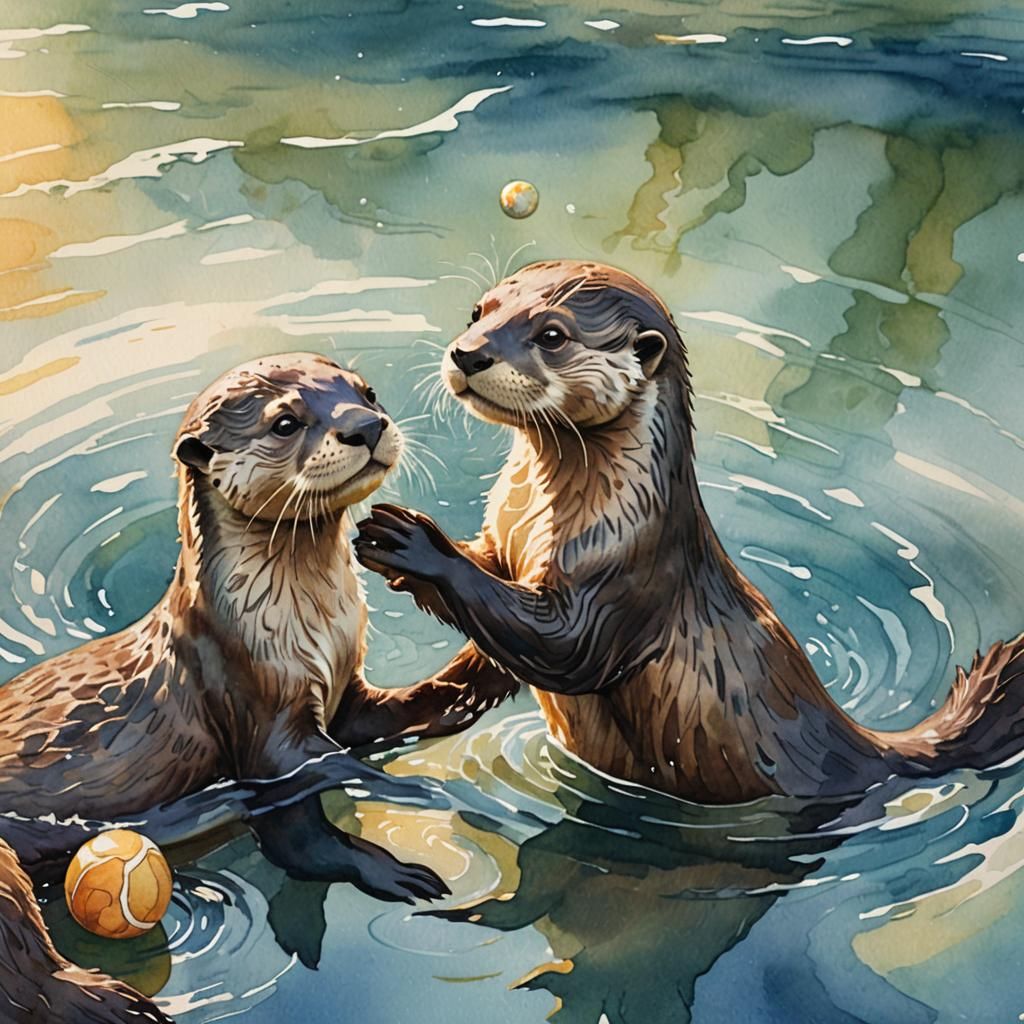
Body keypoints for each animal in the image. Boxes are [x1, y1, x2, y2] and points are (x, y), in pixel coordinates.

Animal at [0, 352, 517, 1020]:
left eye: (368, 393)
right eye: (285, 422)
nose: (366, 426)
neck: (305, 629)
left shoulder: (344, 696)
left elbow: (394, 714)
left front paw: (479, 678)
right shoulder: (257, 717)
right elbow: (305, 828)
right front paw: (405, 831)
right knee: (25, 963)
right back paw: (114, 1000)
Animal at [355, 260, 1024, 804]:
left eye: (551, 335)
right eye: (479, 312)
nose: (469, 353)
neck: (539, 518)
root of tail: (866, 749)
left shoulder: (626, 566)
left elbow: (561, 645)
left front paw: (414, 543)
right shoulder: (506, 541)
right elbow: (490, 632)